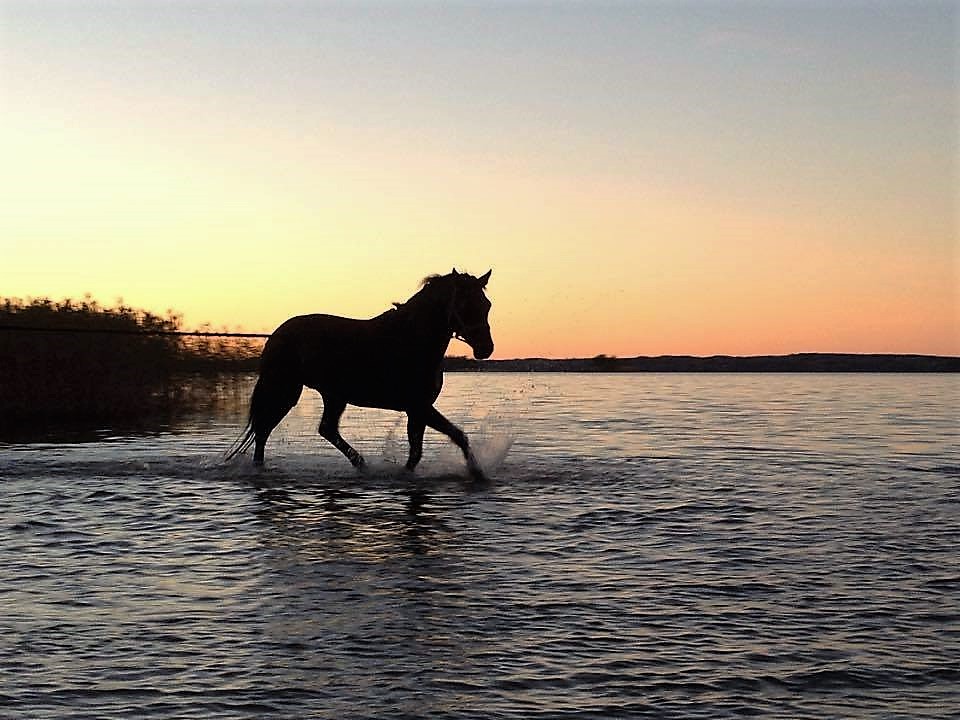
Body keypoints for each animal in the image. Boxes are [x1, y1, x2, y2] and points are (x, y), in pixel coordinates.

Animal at [227, 268, 496, 480]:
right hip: (285, 392)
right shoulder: (418, 406)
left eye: (486, 305)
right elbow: (455, 436)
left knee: (324, 429)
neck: (410, 339)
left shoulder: (418, 409)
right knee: (264, 431)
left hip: (333, 396)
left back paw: (361, 464)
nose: (486, 348)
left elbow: (419, 451)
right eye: (465, 305)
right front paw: (477, 473)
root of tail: (276, 335)